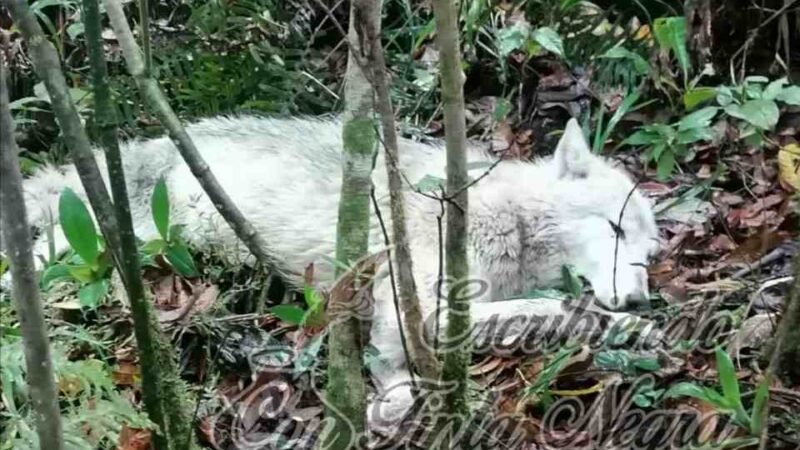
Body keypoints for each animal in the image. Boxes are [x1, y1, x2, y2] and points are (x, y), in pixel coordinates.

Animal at [8, 116, 659, 429]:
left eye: (649, 254)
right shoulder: (420, 306)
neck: (508, 217)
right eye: (615, 228)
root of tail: (142, 147)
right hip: (106, 246)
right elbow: (551, 308)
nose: (640, 300)